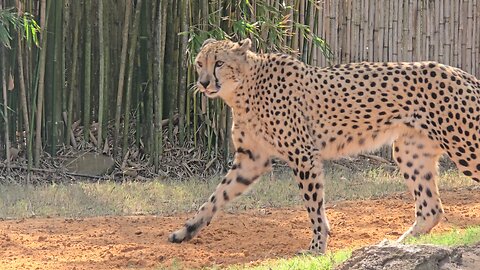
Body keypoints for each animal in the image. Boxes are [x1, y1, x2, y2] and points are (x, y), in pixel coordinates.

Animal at [168, 38, 480, 253]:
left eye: (219, 63)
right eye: (199, 63)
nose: (203, 82)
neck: (244, 89)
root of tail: (463, 73)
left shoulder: (302, 155)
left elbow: (313, 206)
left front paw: (317, 247)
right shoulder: (251, 159)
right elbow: (216, 197)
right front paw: (185, 231)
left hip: (465, 146)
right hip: (410, 151)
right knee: (430, 209)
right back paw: (398, 245)